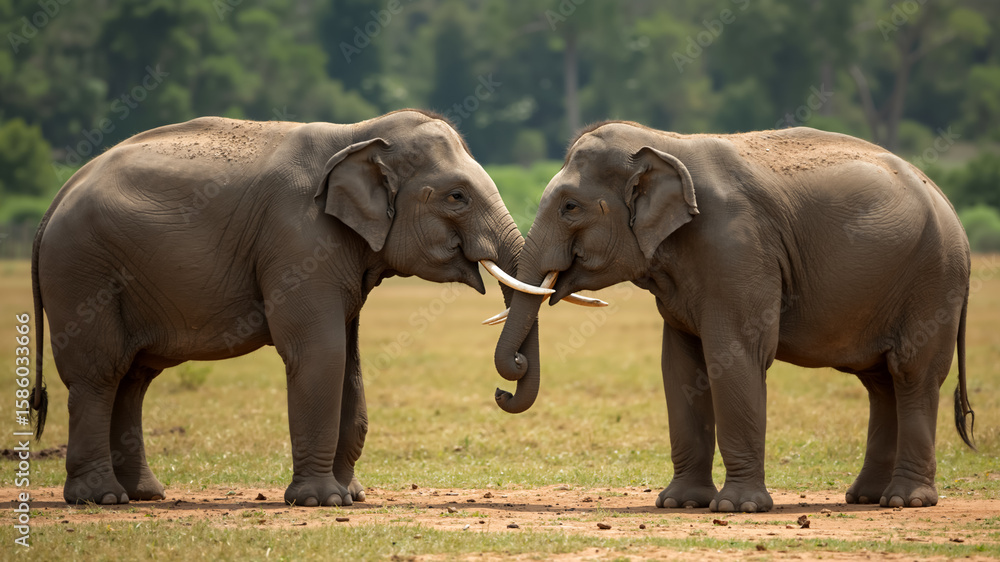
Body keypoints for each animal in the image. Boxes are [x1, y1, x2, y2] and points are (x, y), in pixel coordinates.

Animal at [27, 109, 562, 507]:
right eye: (457, 197)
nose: (504, 385)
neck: (359, 135)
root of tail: (54, 202)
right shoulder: (298, 239)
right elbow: (320, 352)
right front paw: (322, 501)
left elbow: (350, 361)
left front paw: (351, 496)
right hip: (82, 273)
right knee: (100, 373)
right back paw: (100, 498)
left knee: (134, 377)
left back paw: (144, 495)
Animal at [489, 122, 975, 513]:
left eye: (570, 207)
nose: (503, 388)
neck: (665, 143)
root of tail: (949, 205)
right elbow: (680, 366)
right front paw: (680, 503)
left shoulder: (737, 248)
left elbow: (735, 355)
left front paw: (738, 507)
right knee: (879, 382)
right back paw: (865, 498)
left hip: (932, 280)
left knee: (911, 374)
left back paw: (904, 501)